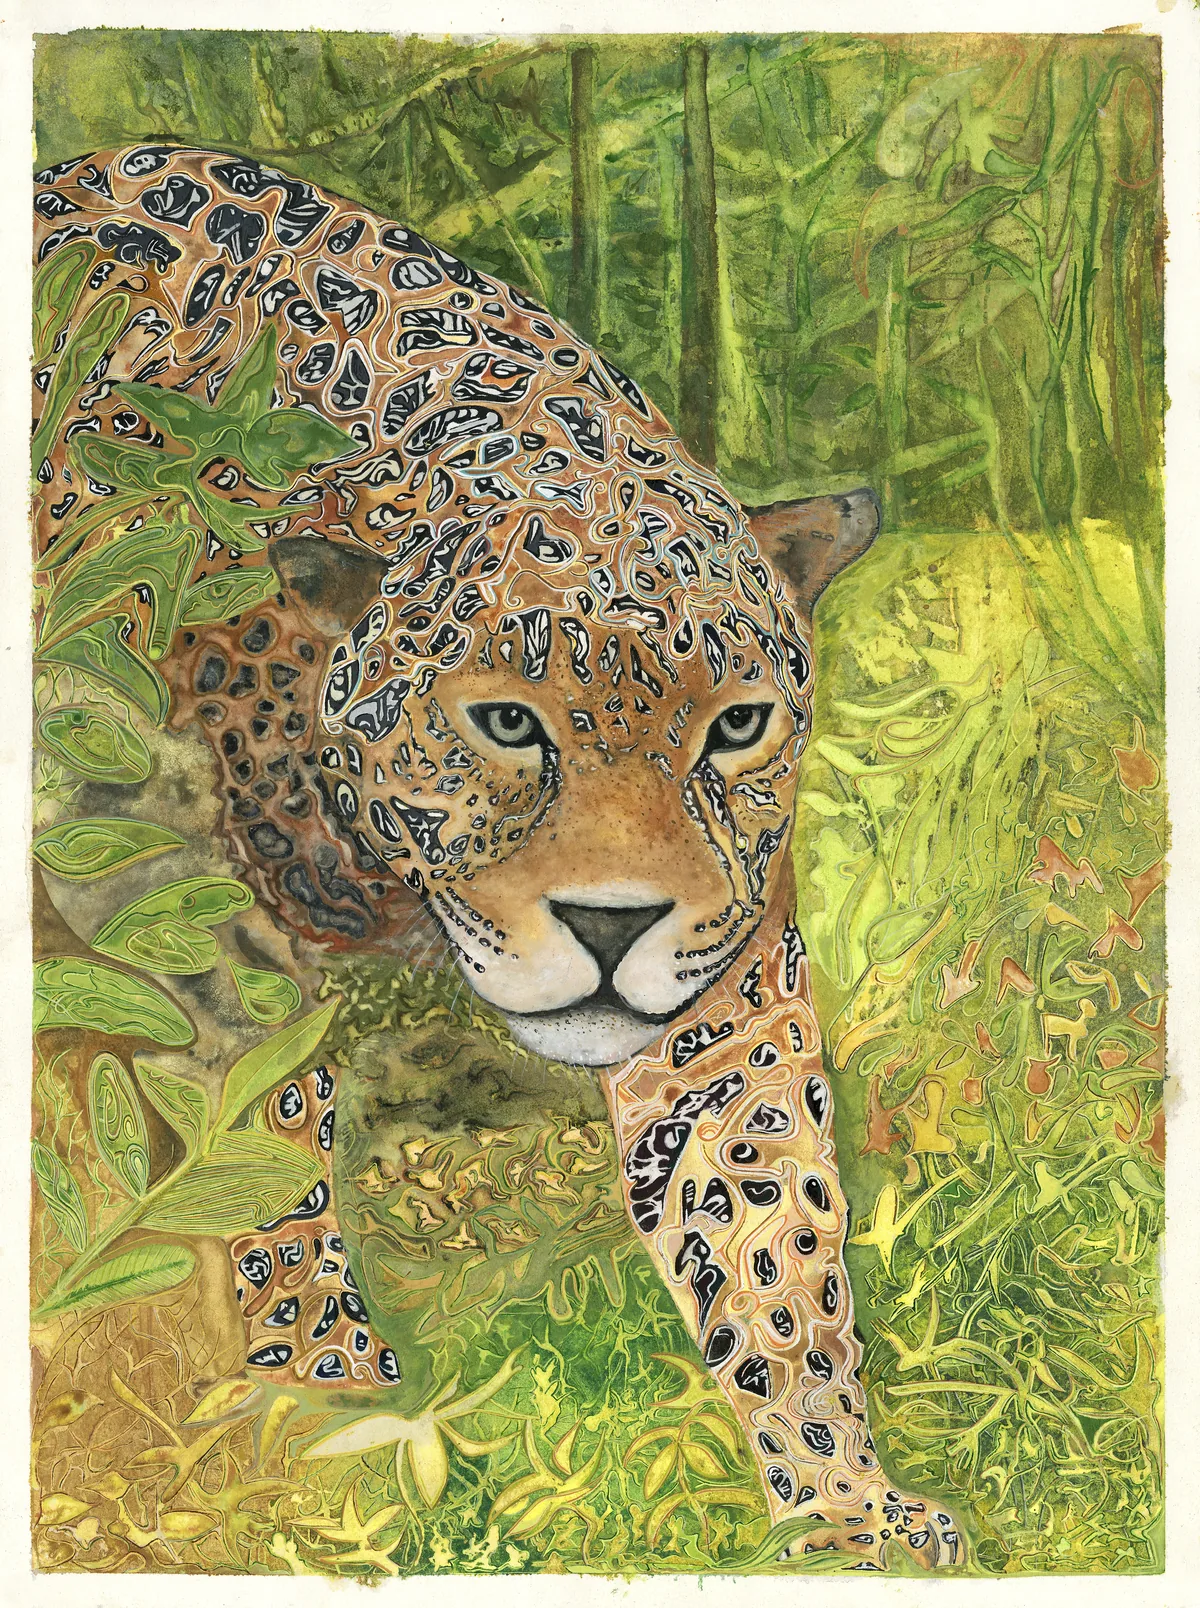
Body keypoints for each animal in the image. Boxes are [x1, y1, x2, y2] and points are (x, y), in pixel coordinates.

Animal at [31, 143, 962, 1570]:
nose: (612, 927)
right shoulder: (202, 912)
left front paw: (843, 1500)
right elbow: (264, 1133)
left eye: (736, 727)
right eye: (509, 725)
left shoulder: (729, 993)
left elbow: (775, 1229)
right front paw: (330, 1383)